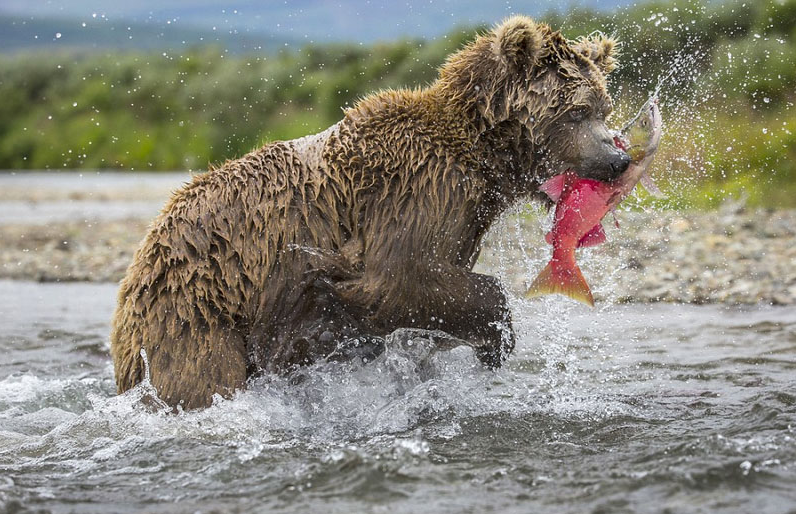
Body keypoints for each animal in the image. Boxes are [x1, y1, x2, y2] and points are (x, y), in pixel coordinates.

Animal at [110, 15, 628, 408]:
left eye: (603, 105)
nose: (618, 158)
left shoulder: (461, 218)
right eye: (577, 110)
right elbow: (401, 276)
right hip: (196, 307)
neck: (483, 160)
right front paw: (495, 341)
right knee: (203, 375)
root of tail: (135, 273)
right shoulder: (414, 194)